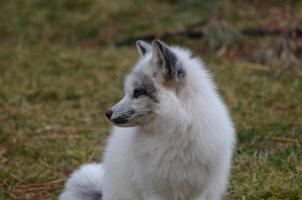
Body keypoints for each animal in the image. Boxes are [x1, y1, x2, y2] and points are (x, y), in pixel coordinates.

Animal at [59, 39, 236, 200]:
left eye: (138, 92)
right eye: (127, 91)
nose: (107, 113)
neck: (174, 134)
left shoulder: (199, 192)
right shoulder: (154, 192)